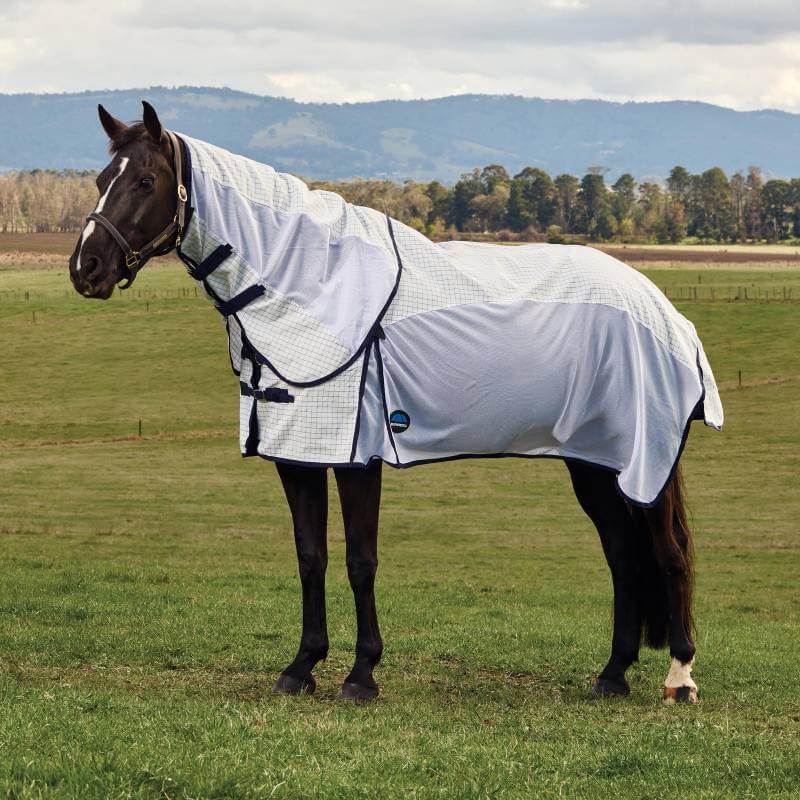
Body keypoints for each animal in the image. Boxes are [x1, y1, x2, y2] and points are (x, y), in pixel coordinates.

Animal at [68, 101, 720, 704]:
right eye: (102, 180)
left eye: (144, 181)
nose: (85, 267)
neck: (308, 282)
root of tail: (666, 312)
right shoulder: (297, 455)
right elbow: (310, 556)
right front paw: (301, 668)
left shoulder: (357, 457)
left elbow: (361, 561)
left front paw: (361, 676)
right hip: (594, 464)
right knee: (623, 558)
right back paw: (612, 675)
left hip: (640, 465)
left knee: (669, 555)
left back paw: (680, 678)